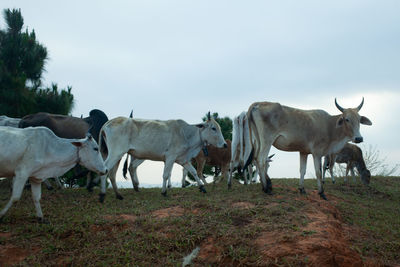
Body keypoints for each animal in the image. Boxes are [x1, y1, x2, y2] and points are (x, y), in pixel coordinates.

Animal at [97, 112, 228, 202]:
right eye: (213, 128)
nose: (225, 145)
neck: (186, 134)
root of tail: (108, 122)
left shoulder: (183, 159)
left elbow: (194, 172)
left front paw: (202, 187)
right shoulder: (170, 157)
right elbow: (166, 174)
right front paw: (164, 192)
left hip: (118, 155)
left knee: (112, 173)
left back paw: (118, 195)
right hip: (116, 153)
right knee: (106, 170)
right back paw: (103, 195)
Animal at [242, 97, 374, 200]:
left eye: (359, 119)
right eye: (347, 119)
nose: (359, 138)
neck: (329, 126)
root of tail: (258, 104)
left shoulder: (303, 152)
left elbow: (302, 170)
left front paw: (302, 189)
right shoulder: (317, 153)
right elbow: (318, 172)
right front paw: (322, 193)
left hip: (257, 141)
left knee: (256, 160)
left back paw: (267, 184)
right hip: (267, 140)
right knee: (261, 160)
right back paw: (266, 188)